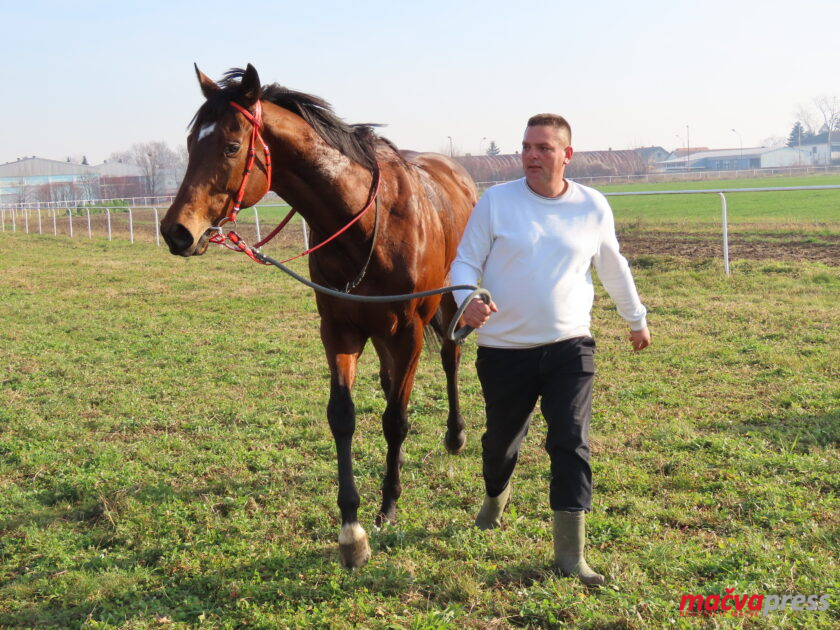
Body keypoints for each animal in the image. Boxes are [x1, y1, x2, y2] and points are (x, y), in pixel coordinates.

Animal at [158, 65, 476, 572]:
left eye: (230, 146)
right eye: (191, 143)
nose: (177, 231)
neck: (365, 226)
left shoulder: (408, 331)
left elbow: (396, 419)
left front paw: (388, 505)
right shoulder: (339, 330)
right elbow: (343, 417)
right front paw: (351, 531)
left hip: (447, 300)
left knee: (450, 354)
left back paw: (456, 435)